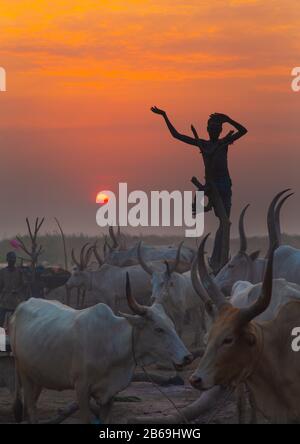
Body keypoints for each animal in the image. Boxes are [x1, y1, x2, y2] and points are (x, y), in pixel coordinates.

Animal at [9, 274, 192, 424]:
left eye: (172, 325)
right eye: (158, 329)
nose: (187, 357)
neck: (110, 343)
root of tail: (20, 307)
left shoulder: (109, 394)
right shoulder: (81, 389)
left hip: (38, 376)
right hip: (24, 374)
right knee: (31, 409)